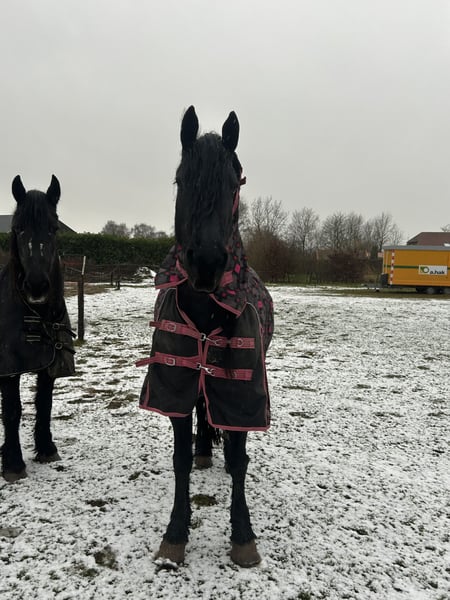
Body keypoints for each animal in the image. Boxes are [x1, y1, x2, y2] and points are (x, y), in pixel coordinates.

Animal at [138, 106, 273, 567]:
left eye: (235, 183)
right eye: (183, 179)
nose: (208, 264)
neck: (207, 308)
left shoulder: (242, 393)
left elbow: (239, 458)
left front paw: (243, 536)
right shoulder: (174, 383)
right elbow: (179, 458)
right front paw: (175, 534)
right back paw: (203, 452)